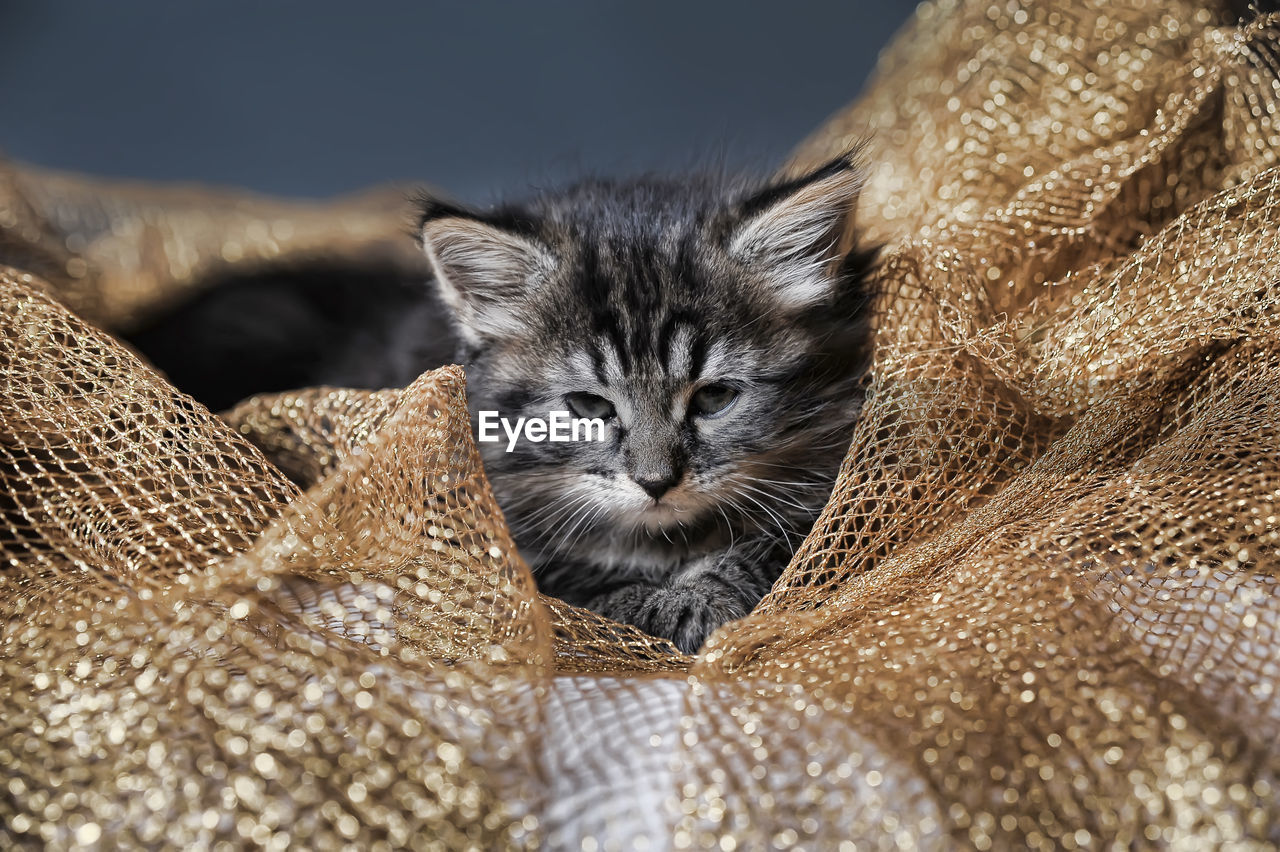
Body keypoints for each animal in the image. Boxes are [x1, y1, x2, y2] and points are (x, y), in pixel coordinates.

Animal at [414, 154, 875, 649]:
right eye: (590, 407)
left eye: (714, 397)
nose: (655, 483)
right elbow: (571, 585)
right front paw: (668, 606)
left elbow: (792, 543)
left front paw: (702, 592)